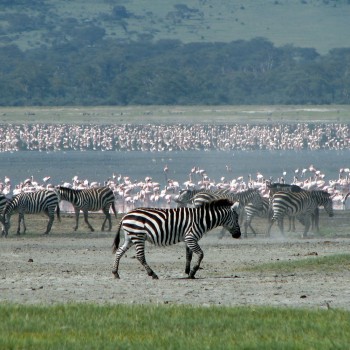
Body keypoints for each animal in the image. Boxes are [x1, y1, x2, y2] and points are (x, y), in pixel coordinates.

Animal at [112, 200, 241, 278]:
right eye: (237, 218)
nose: (238, 235)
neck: (202, 219)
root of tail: (125, 215)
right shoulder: (190, 237)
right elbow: (200, 254)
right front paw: (193, 272)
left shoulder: (188, 239)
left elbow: (189, 256)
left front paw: (188, 272)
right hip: (138, 236)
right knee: (140, 256)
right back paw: (152, 274)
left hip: (130, 237)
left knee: (119, 252)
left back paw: (115, 273)